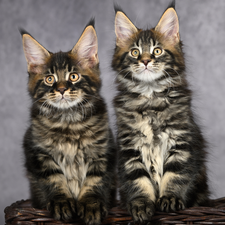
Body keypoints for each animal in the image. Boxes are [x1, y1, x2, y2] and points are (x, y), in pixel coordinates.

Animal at [20, 19, 115, 225]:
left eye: (73, 76)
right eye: (49, 79)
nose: (62, 89)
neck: (68, 121)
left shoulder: (102, 151)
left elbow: (94, 180)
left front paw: (91, 205)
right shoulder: (39, 152)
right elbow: (54, 179)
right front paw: (61, 203)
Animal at [112, 3, 209, 223]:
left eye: (157, 51)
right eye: (134, 52)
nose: (146, 61)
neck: (150, 98)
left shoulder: (182, 141)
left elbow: (175, 175)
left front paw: (170, 199)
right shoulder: (129, 147)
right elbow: (138, 180)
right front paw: (141, 206)